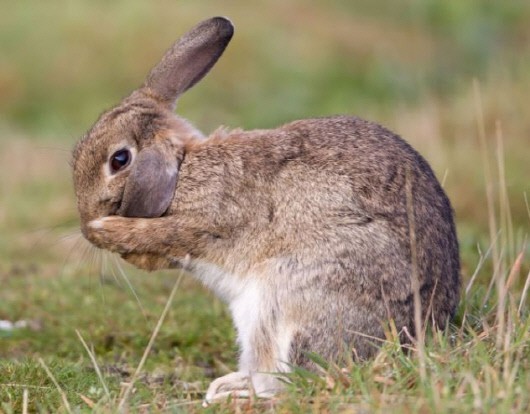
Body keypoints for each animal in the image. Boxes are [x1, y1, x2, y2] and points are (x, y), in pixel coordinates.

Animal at [71, 17, 458, 404]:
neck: (184, 167)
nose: (86, 221)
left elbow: (165, 235)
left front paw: (107, 231)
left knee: (298, 379)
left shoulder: (209, 222)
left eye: (119, 160)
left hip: (294, 304)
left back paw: (234, 395)